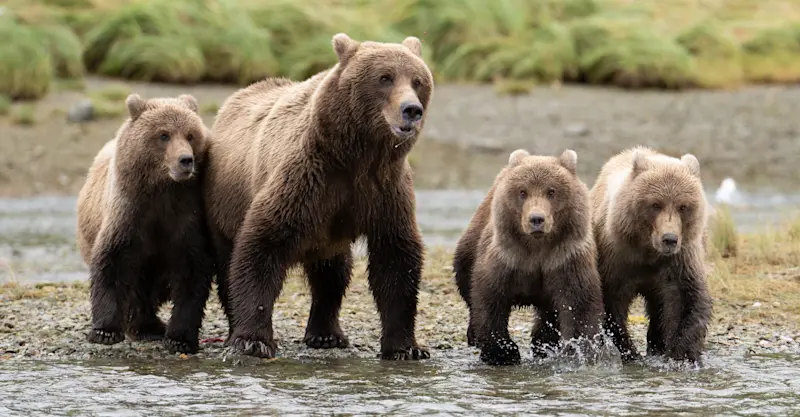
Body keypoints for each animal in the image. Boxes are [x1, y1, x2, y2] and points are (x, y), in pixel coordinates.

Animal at [76, 93, 214, 354]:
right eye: (164, 134)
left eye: (191, 135)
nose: (186, 160)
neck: (161, 190)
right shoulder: (128, 214)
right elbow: (112, 264)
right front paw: (105, 331)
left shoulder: (186, 218)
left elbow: (193, 272)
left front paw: (180, 338)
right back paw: (145, 327)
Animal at [202, 33, 434, 360]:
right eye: (385, 78)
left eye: (417, 80)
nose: (411, 109)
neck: (356, 155)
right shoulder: (309, 177)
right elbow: (262, 244)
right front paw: (253, 340)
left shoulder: (384, 190)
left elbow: (396, 258)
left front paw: (407, 347)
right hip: (223, 204)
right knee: (226, 264)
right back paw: (236, 327)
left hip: (328, 236)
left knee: (332, 274)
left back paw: (326, 334)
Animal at [453, 148, 604, 366]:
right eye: (522, 192)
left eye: (551, 191)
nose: (536, 219)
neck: (536, 248)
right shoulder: (506, 257)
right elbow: (490, 299)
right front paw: (503, 352)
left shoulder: (566, 258)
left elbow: (578, 304)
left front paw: (578, 349)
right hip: (471, 245)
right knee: (465, 280)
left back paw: (544, 345)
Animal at [590, 146, 712, 364]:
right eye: (655, 204)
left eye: (683, 206)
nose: (669, 239)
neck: (648, 251)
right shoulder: (617, 258)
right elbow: (612, 303)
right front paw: (631, 352)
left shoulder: (680, 259)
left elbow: (686, 300)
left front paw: (682, 354)